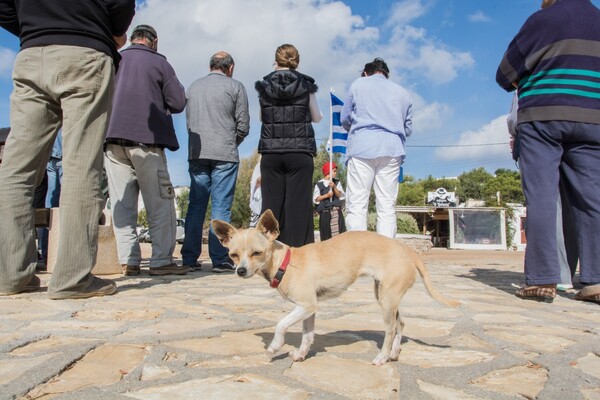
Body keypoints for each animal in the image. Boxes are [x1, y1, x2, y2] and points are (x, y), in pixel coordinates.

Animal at [212, 211, 460, 364]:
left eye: (257, 253)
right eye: (233, 255)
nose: (240, 270)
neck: (286, 262)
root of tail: (408, 250)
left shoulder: (306, 305)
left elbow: (281, 323)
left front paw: (275, 345)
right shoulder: (309, 309)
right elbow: (307, 335)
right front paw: (301, 354)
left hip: (387, 299)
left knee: (390, 329)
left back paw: (382, 356)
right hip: (385, 295)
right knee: (401, 323)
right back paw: (394, 353)